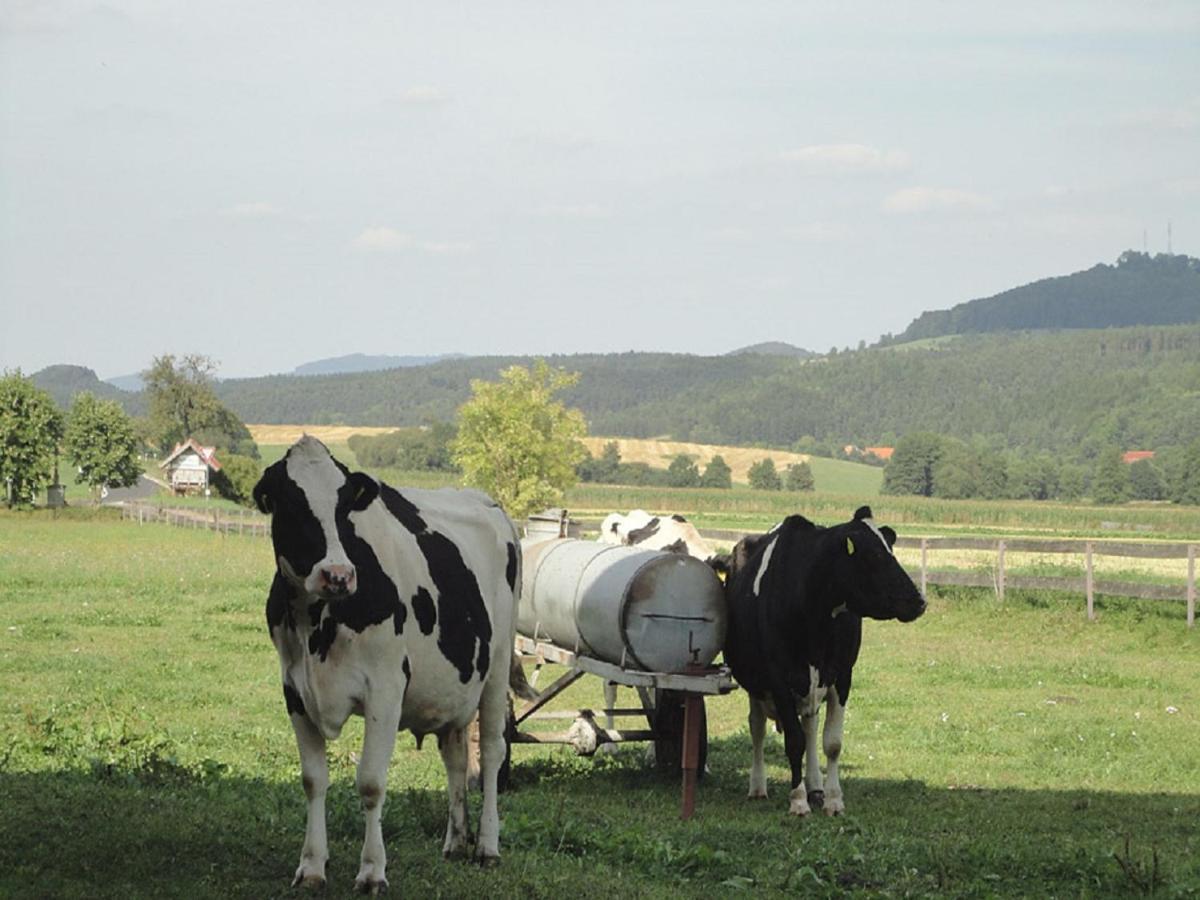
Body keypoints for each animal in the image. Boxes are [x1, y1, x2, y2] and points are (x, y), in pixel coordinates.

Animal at [253, 439, 520, 897]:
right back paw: (455, 841)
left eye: (345, 506)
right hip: (452, 688)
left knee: (489, 751)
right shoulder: (294, 689)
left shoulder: (386, 688)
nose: (338, 575)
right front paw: (312, 866)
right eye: (290, 502)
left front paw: (372, 871)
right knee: (455, 758)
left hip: (498, 665)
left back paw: (486, 845)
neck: (315, 621)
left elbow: (371, 782)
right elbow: (313, 780)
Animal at [710, 508, 926, 816]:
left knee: (810, 725)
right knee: (758, 728)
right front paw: (798, 800)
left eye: (891, 550)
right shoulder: (778, 678)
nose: (919, 601)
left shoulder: (842, 674)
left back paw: (815, 785)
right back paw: (758, 786)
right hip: (757, 684)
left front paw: (833, 799)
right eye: (874, 556)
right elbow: (794, 741)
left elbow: (831, 743)